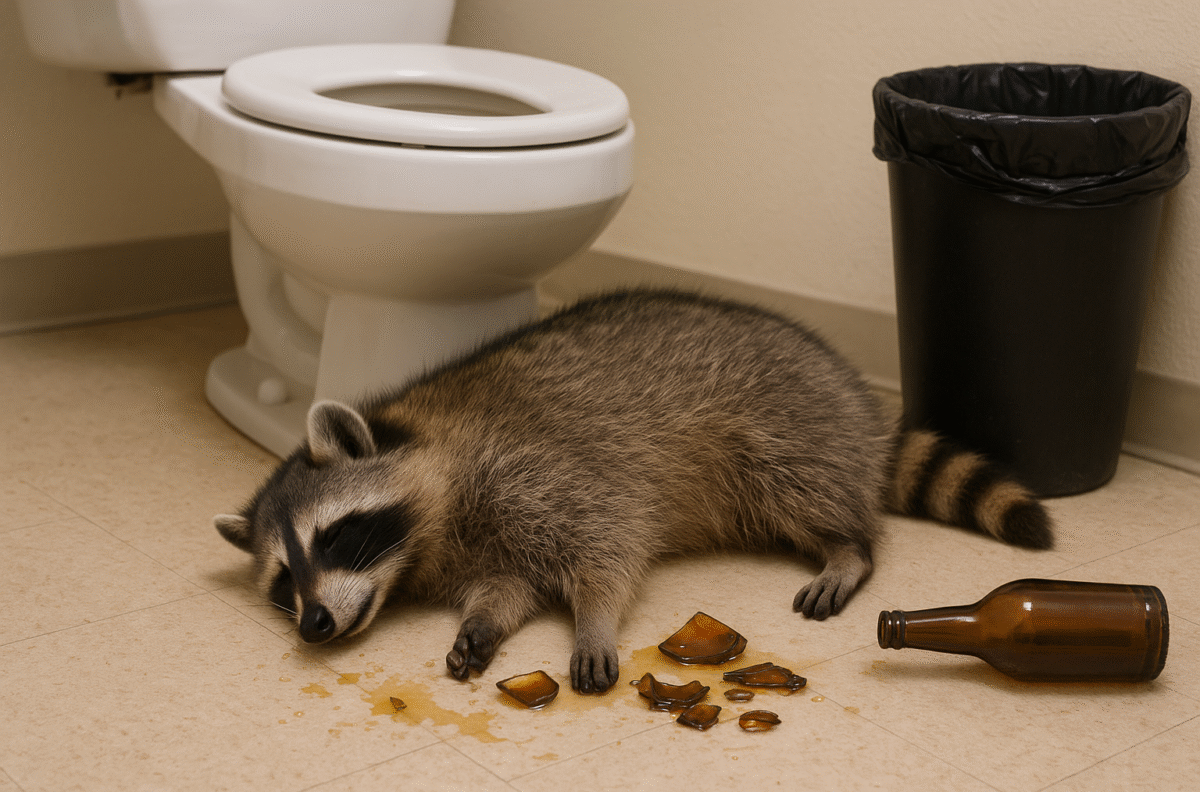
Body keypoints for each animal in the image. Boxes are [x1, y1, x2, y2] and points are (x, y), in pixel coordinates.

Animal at [215, 289, 1052, 694]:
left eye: (335, 536)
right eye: (284, 580)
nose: (314, 625)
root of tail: (860, 406)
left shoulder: (537, 470)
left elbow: (607, 546)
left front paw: (592, 621)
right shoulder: (485, 538)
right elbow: (509, 584)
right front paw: (485, 623)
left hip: (783, 422)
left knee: (800, 484)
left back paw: (847, 547)